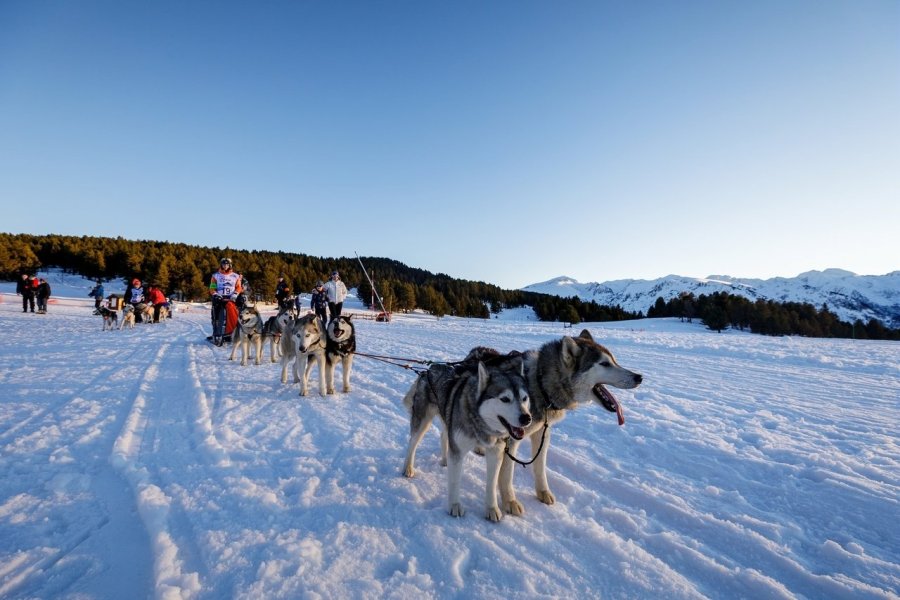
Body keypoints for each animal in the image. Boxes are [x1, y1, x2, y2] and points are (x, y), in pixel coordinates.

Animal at [402, 350, 532, 524]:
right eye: (505, 399)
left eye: (524, 398)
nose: (526, 418)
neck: (479, 420)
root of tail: (428, 370)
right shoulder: (457, 451)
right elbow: (455, 481)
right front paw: (454, 505)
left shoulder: (495, 453)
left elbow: (491, 483)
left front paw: (492, 509)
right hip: (422, 422)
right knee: (412, 443)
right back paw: (408, 468)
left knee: (444, 436)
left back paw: (444, 460)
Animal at [500, 330, 640, 512]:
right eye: (604, 363)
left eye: (614, 361)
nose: (639, 377)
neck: (539, 383)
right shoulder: (512, 438)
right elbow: (507, 473)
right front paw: (510, 502)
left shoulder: (542, 434)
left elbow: (540, 467)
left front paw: (543, 492)